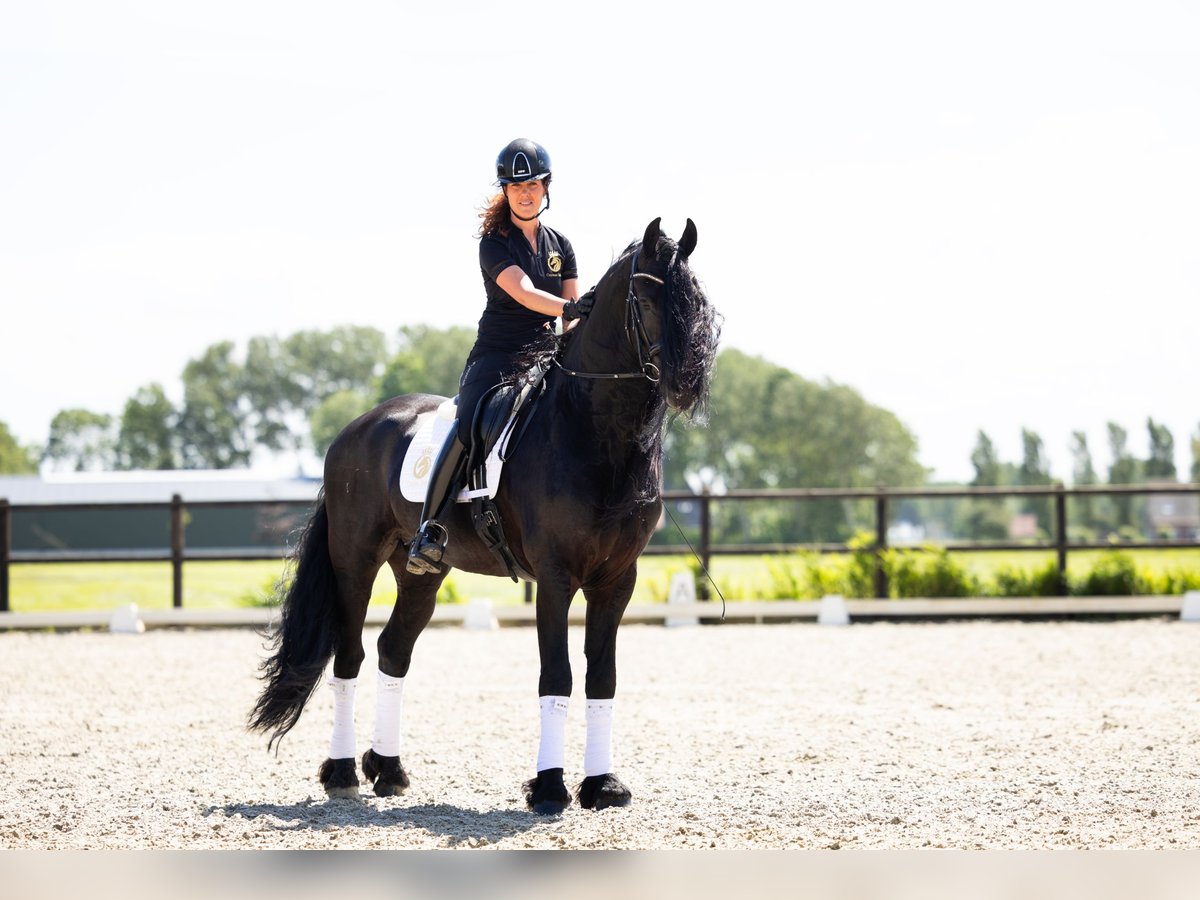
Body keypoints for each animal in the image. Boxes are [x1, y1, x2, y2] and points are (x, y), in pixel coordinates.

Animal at [247, 220, 715, 816]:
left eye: (697, 298)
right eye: (649, 298)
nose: (688, 380)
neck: (594, 430)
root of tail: (353, 430)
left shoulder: (617, 579)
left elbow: (602, 677)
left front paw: (603, 786)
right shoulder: (556, 577)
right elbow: (557, 674)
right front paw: (549, 787)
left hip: (421, 572)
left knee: (393, 650)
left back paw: (388, 769)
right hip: (354, 562)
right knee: (349, 655)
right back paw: (344, 772)